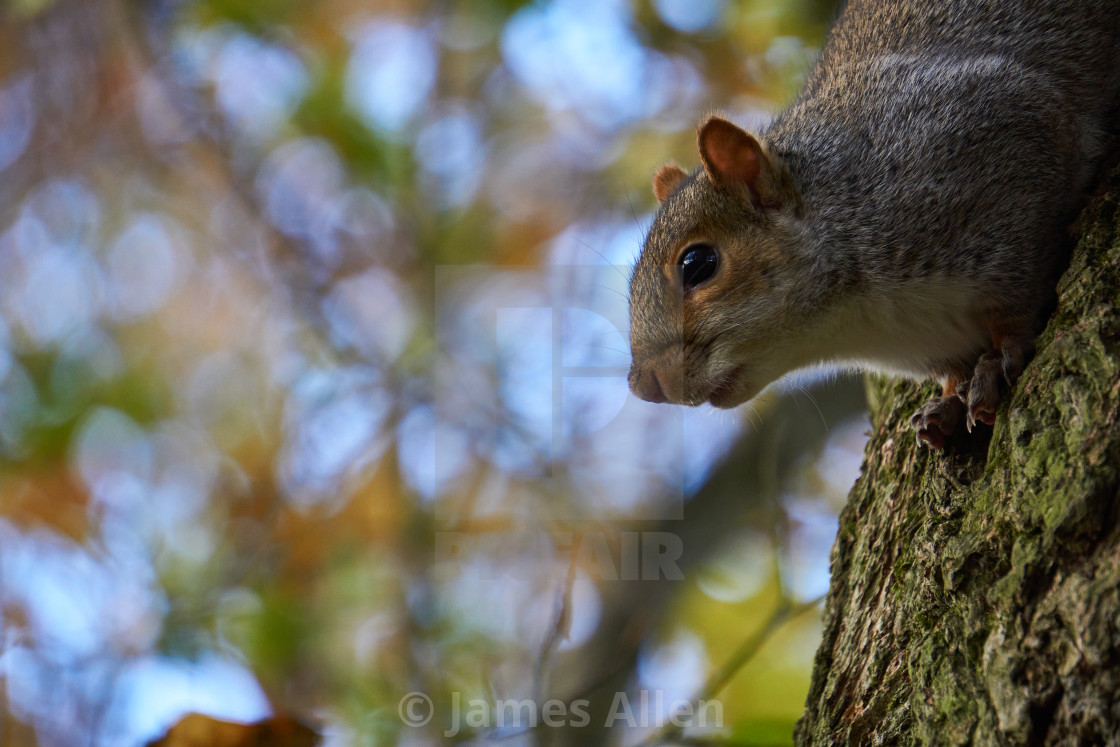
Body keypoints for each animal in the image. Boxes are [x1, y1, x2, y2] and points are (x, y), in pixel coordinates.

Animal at [627, 0, 1120, 450]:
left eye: (698, 264)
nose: (644, 386)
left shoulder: (997, 142)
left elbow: (1017, 298)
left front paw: (999, 360)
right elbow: (951, 372)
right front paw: (948, 400)